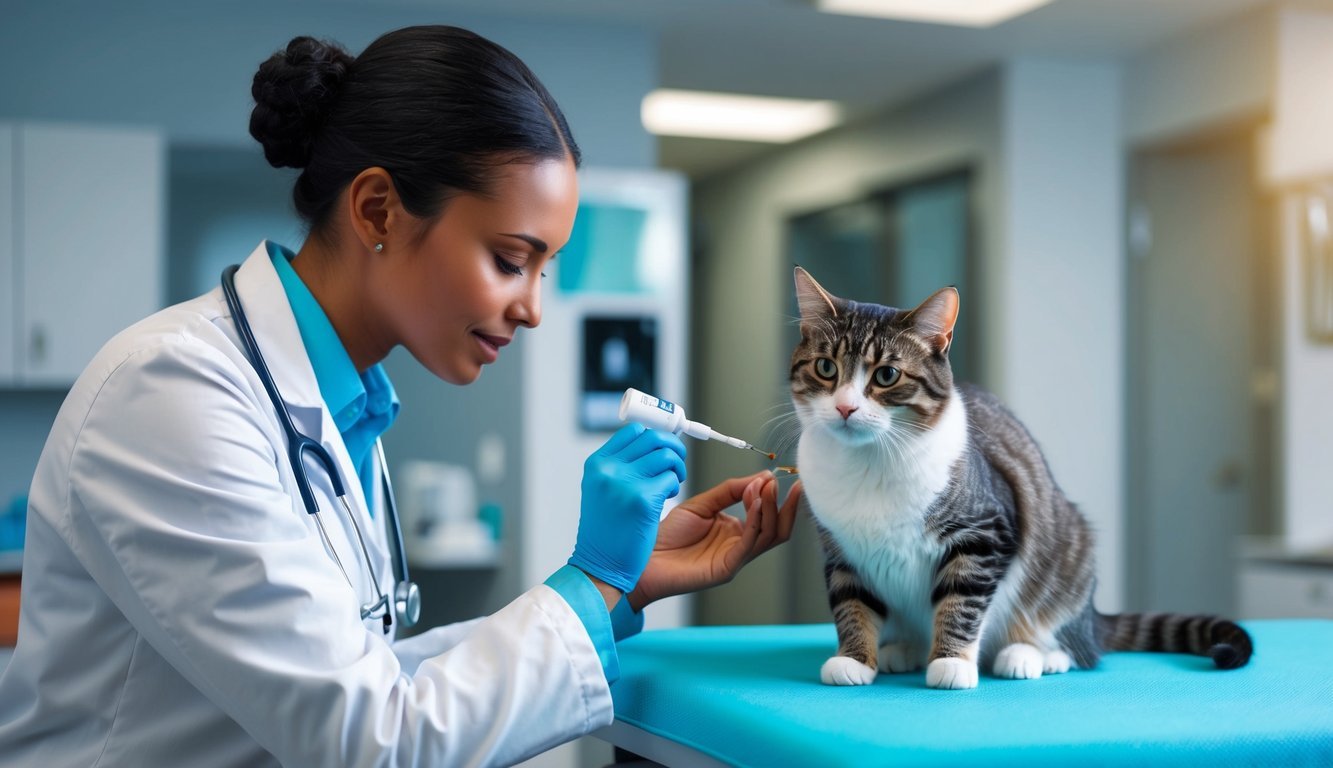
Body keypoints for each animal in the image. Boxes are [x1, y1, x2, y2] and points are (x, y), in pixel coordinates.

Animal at [783, 265, 1253, 688]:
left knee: (1078, 648)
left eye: (886, 375)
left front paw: (951, 662)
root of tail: (1092, 618)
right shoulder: (842, 549)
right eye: (826, 368)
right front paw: (854, 659)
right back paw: (903, 649)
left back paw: (1030, 655)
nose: (845, 407)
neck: (867, 462)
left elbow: (962, 602)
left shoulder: (985, 532)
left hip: (1068, 560)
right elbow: (851, 604)